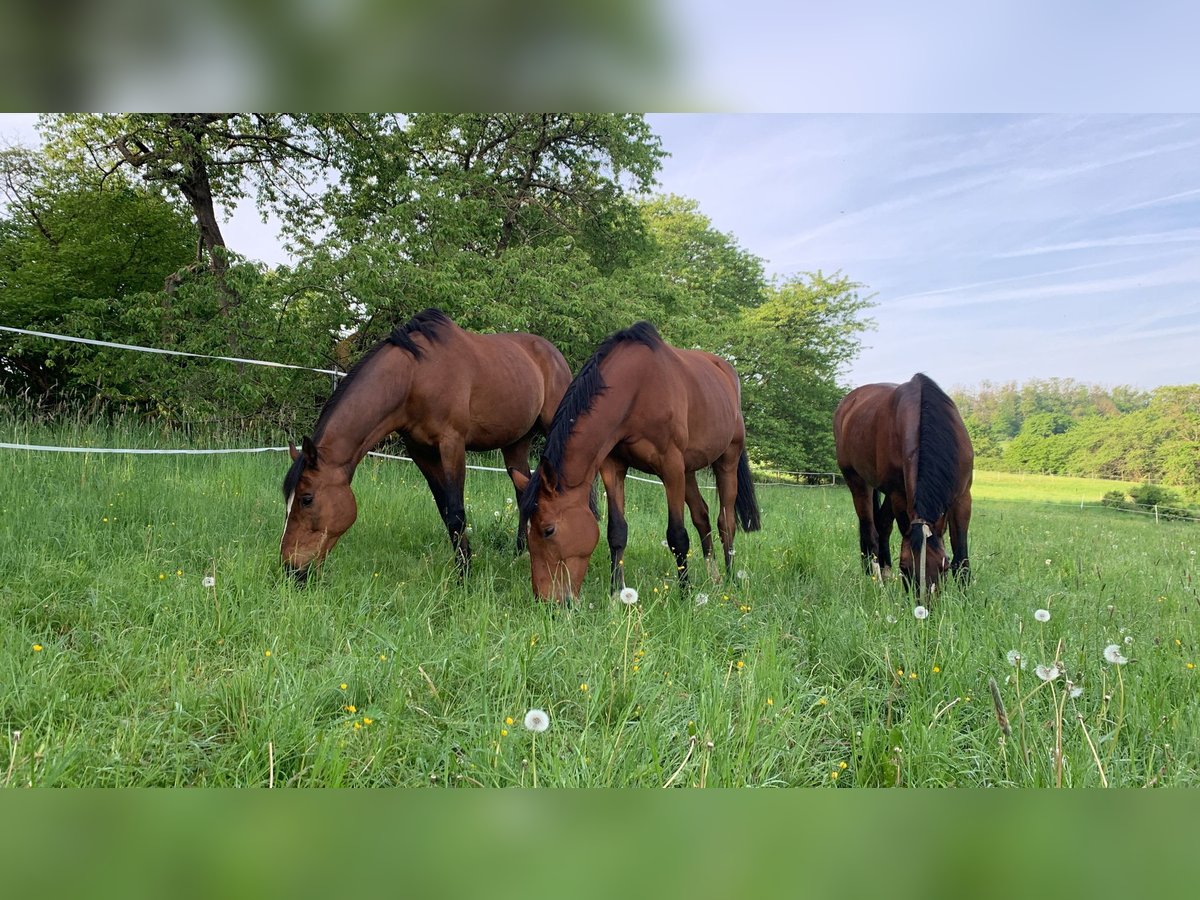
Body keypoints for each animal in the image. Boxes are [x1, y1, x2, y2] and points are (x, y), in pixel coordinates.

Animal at [288, 307, 573, 580]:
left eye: (306, 499)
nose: (292, 570)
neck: (414, 377)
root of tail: (553, 353)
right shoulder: (421, 452)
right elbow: (445, 510)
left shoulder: (452, 444)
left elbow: (456, 513)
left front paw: (464, 576)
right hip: (516, 442)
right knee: (522, 489)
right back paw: (520, 553)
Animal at [513, 324, 758, 607]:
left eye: (548, 530)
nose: (547, 601)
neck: (638, 389)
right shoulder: (613, 466)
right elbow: (617, 532)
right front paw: (615, 594)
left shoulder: (671, 467)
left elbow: (677, 535)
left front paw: (684, 594)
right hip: (689, 471)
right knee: (702, 516)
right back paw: (714, 578)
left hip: (726, 460)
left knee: (725, 522)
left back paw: (729, 578)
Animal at [835, 374, 974, 600]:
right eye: (905, 568)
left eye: (943, 567)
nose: (924, 606)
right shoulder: (899, 495)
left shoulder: (963, 497)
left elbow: (961, 554)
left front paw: (966, 597)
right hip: (858, 482)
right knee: (870, 531)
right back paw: (877, 581)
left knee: (882, 524)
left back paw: (884, 573)